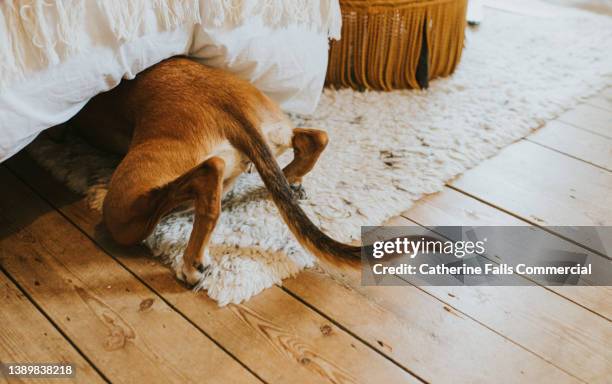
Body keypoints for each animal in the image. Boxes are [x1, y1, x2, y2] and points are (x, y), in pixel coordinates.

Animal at [70, 57, 360, 284]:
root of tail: (229, 105)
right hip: (276, 131)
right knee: (316, 140)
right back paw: (289, 180)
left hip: (121, 210)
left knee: (208, 173)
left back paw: (191, 263)